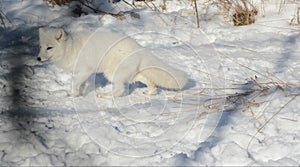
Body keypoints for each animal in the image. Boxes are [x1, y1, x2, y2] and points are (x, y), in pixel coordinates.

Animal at [37, 27, 188, 97]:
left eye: (49, 48)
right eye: (41, 46)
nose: (38, 58)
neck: (72, 48)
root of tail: (139, 48)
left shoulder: (85, 71)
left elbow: (74, 83)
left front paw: (73, 95)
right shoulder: (82, 73)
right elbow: (80, 84)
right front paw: (80, 94)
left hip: (112, 74)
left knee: (120, 90)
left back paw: (106, 96)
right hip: (128, 74)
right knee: (148, 81)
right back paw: (150, 93)